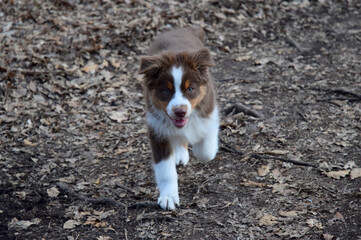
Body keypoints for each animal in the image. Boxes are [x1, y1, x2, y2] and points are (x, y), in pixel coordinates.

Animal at [139, 26, 218, 210]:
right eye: (165, 90)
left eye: (190, 89)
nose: (180, 112)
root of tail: (180, 29)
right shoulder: (157, 130)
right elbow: (165, 170)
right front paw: (168, 197)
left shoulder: (209, 109)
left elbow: (206, 151)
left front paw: (200, 148)